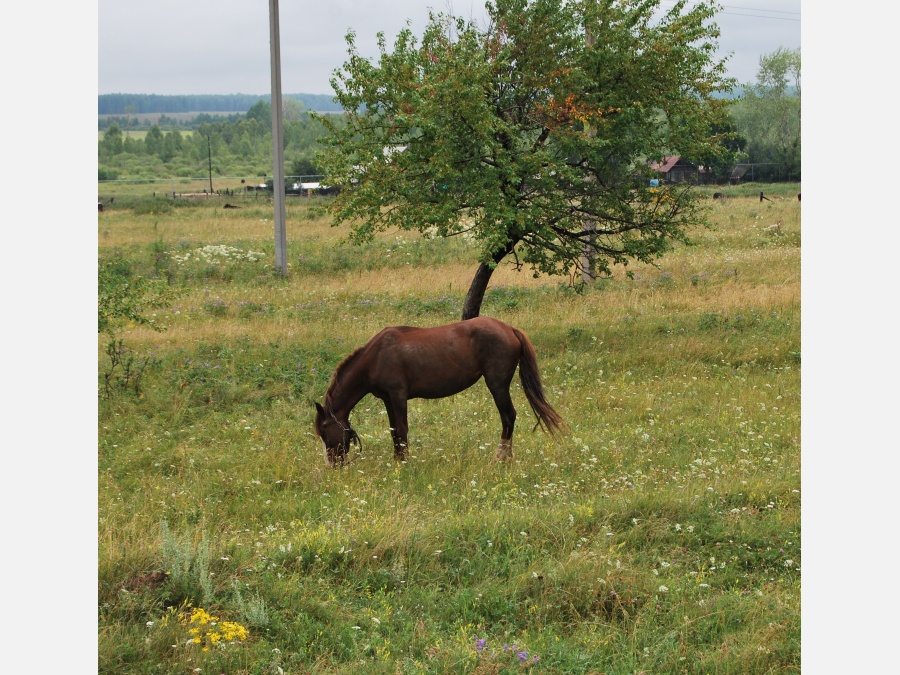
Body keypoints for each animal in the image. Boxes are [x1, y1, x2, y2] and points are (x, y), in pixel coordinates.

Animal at [314, 316, 564, 464]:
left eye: (324, 431)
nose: (332, 464)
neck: (376, 356)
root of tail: (509, 329)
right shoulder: (387, 399)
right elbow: (394, 431)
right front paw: (397, 460)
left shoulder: (398, 396)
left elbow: (402, 430)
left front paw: (405, 463)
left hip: (498, 385)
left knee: (508, 417)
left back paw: (501, 458)